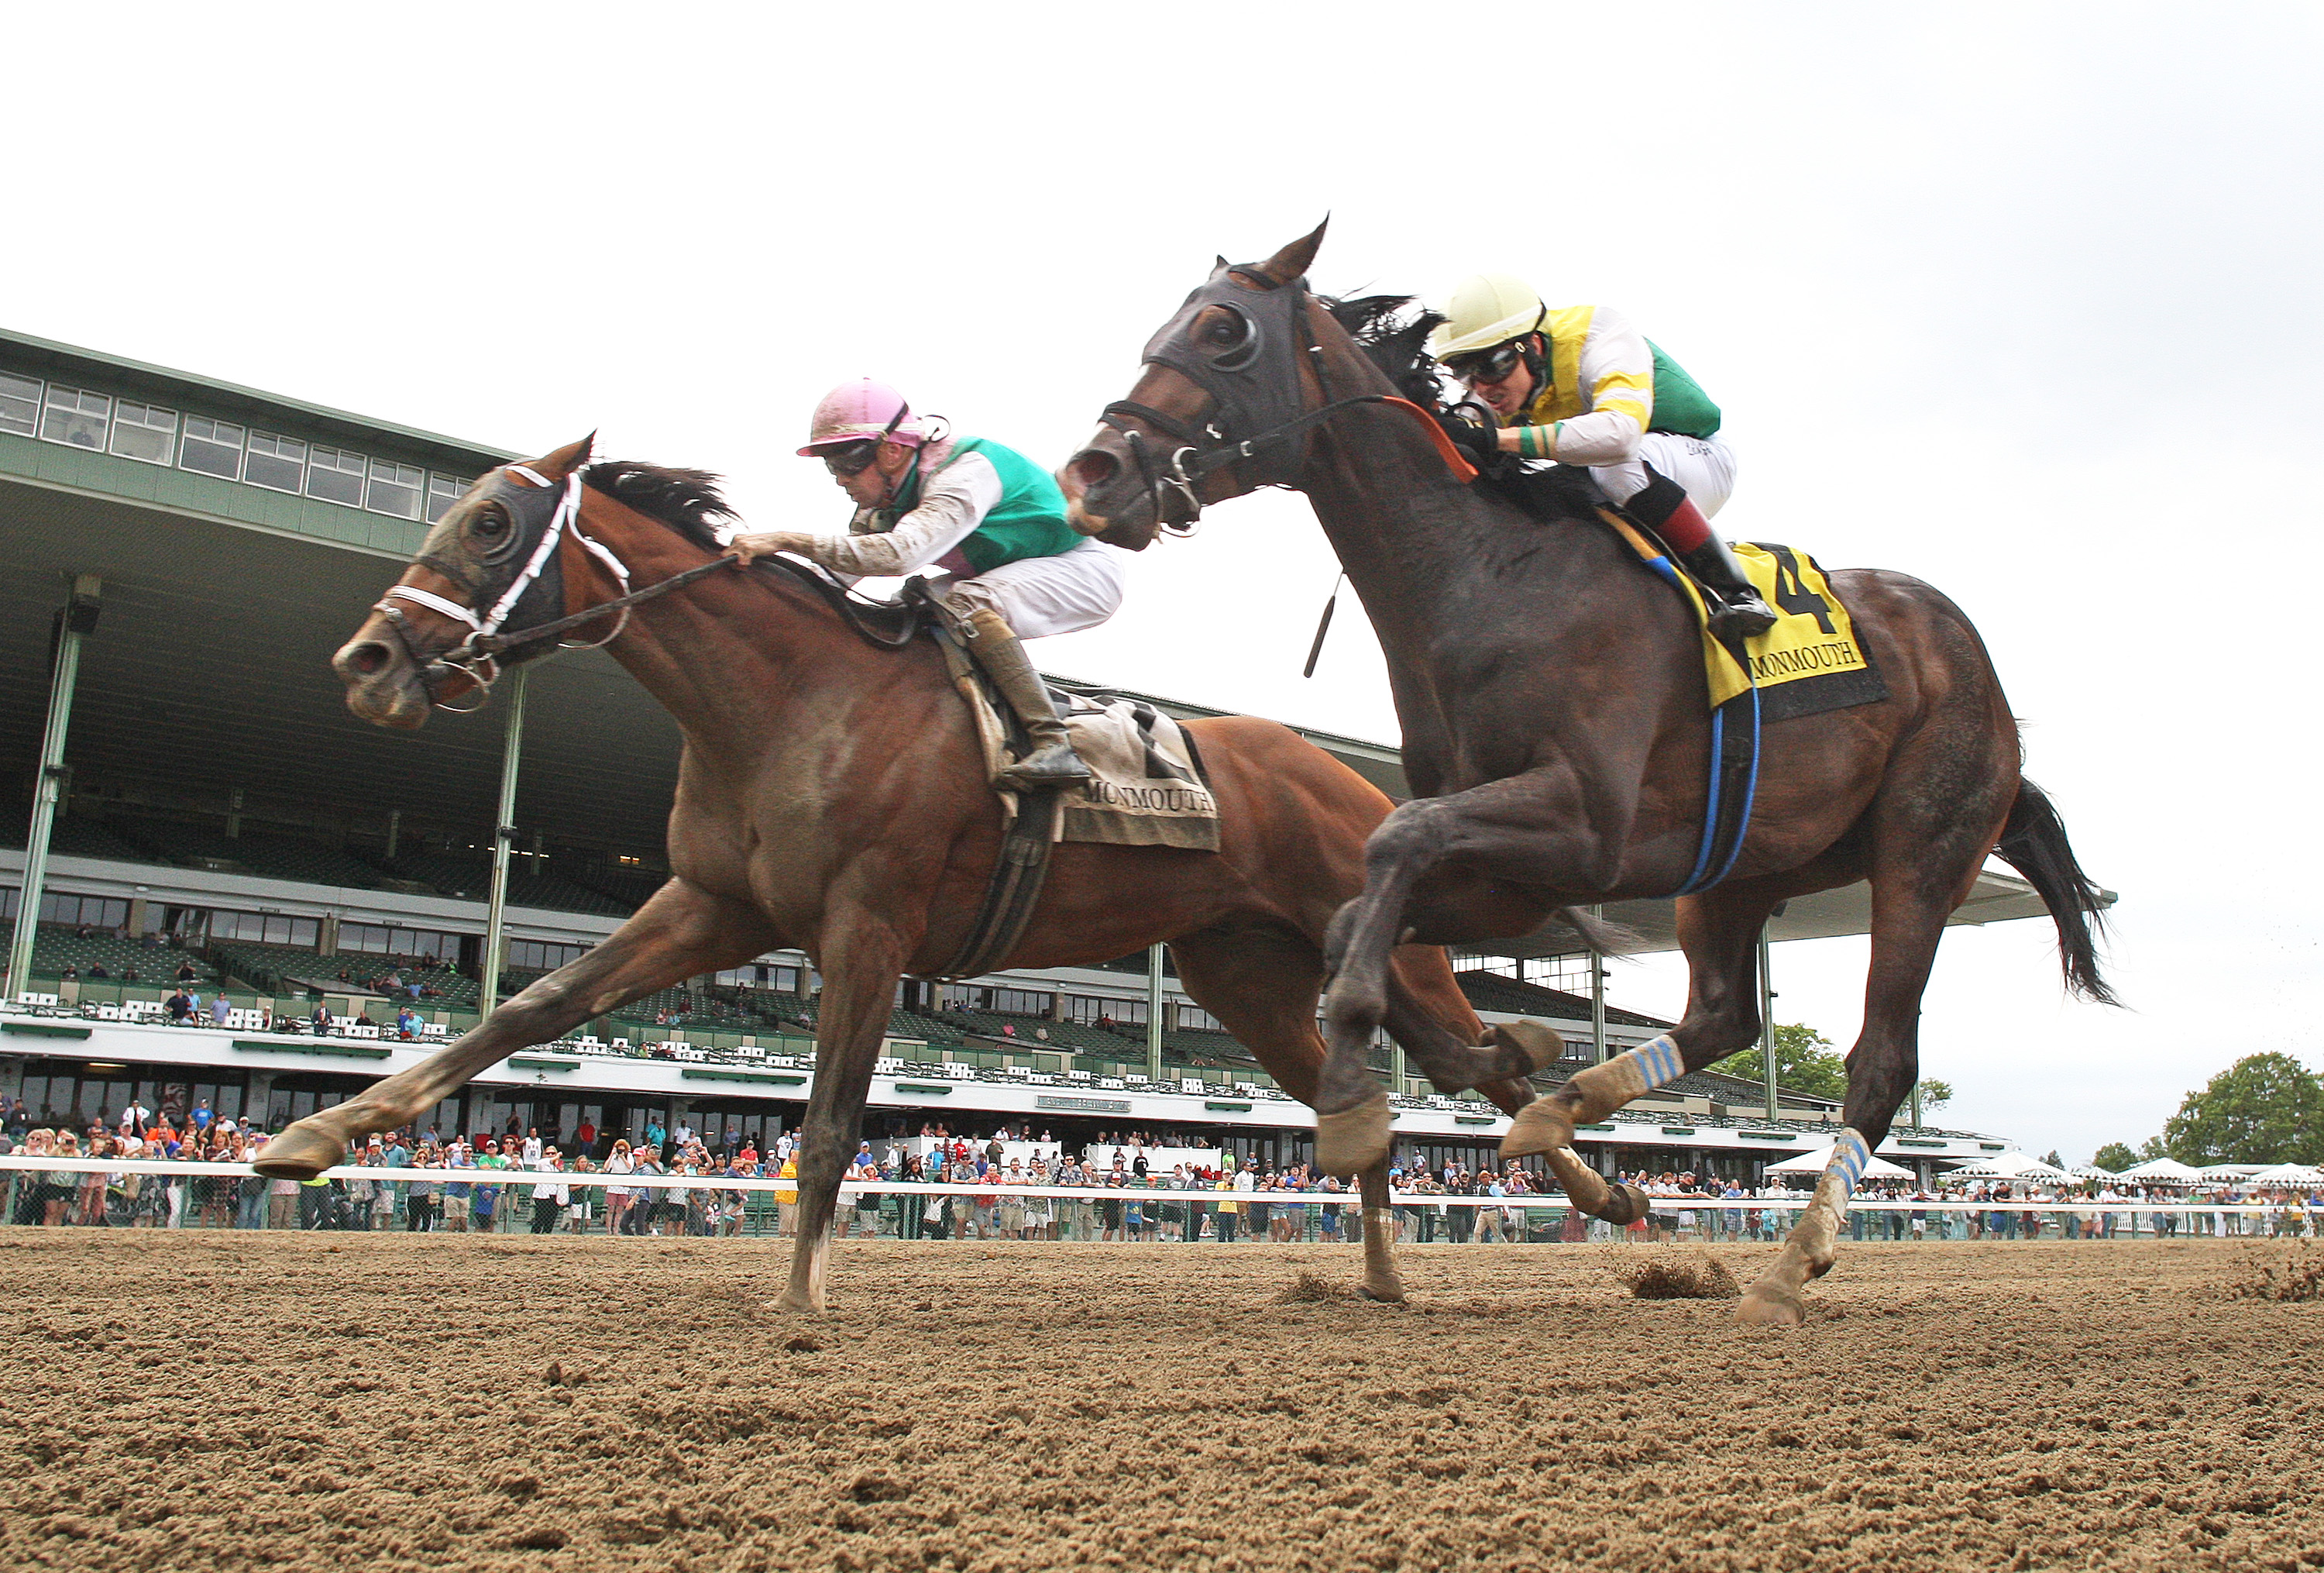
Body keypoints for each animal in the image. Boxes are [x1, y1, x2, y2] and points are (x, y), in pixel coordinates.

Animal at [254, 434, 1552, 1310]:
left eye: (490, 524)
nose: (366, 660)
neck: (792, 699)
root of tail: (1355, 781)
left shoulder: (868, 924)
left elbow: (829, 1121)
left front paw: (800, 1297)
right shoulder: (714, 903)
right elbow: (531, 1005)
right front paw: (315, 1134)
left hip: (1383, 951)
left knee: (1487, 1062)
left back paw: (1584, 1185)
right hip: (1240, 974)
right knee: (1378, 1106)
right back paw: (1386, 1271)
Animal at [1064, 226, 2119, 1320]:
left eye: (1224, 333)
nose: (1095, 471)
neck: (1488, 577)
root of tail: (1974, 660)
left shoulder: (1583, 827)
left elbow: (1395, 839)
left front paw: (1368, 1088)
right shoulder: (1513, 870)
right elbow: (1366, 907)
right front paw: (1476, 1060)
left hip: (1923, 847)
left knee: (1881, 1057)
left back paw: (1788, 1267)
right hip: (1741, 870)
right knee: (1726, 1012)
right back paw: (1571, 1105)